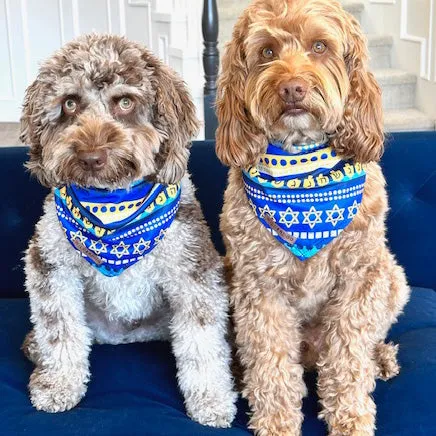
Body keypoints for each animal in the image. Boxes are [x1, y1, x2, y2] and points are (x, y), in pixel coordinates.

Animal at [216, 0, 410, 436]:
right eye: (267, 51)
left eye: (320, 46)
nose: (292, 88)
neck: (302, 173)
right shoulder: (260, 285)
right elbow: (269, 362)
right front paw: (276, 422)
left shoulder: (360, 277)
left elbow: (349, 359)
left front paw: (352, 417)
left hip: (392, 277)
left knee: (364, 342)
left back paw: (381, 358)